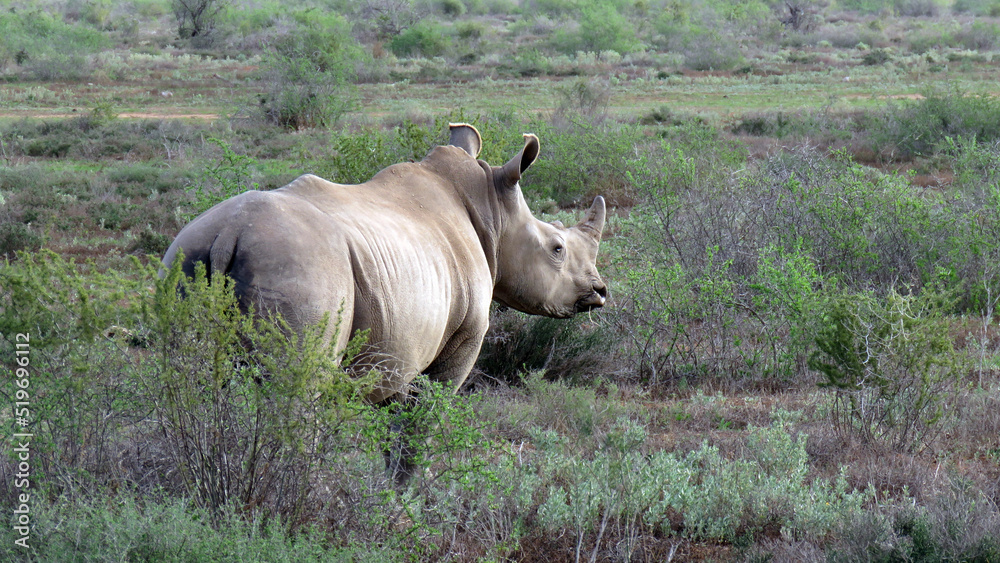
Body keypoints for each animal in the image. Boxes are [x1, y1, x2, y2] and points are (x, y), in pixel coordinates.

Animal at [162, 123, 607, 476]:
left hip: (184, 255)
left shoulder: (398, 348)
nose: (600, 292)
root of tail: (230, 233)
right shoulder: (460, 340)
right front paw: (405, 501)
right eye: (557, 248)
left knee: (186, 392)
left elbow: (396, 429)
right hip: (300, 267)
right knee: (297, 393)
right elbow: (418, 428)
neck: (493, 214)